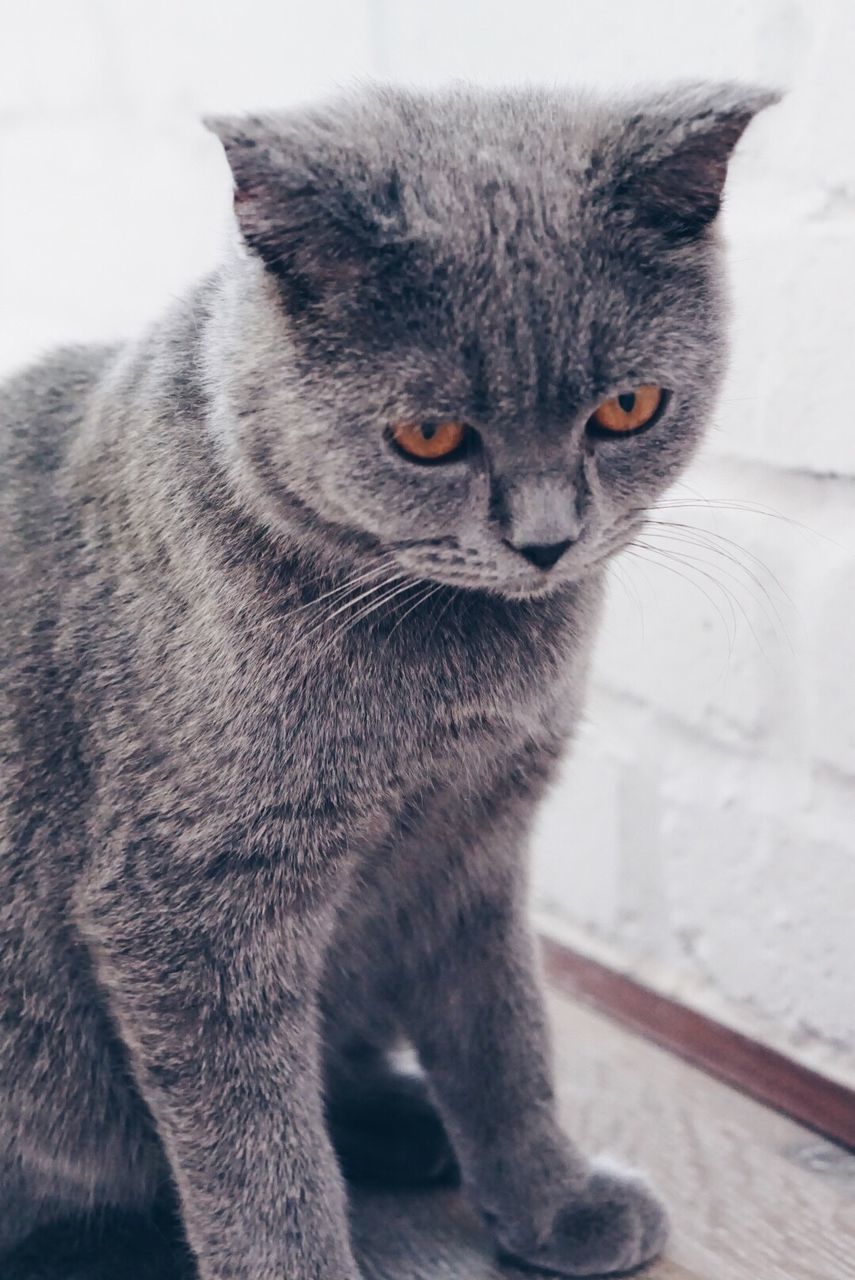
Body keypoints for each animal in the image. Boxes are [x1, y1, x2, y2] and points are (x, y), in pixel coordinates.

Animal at [0, 85, 773, 1274]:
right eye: (428, 435)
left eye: (627, 409)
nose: (546, 540)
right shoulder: (190, 897)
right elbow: (256, 1141)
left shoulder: (476, 840)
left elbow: (505, 1034)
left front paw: (553, 1200)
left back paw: (409, 1123)